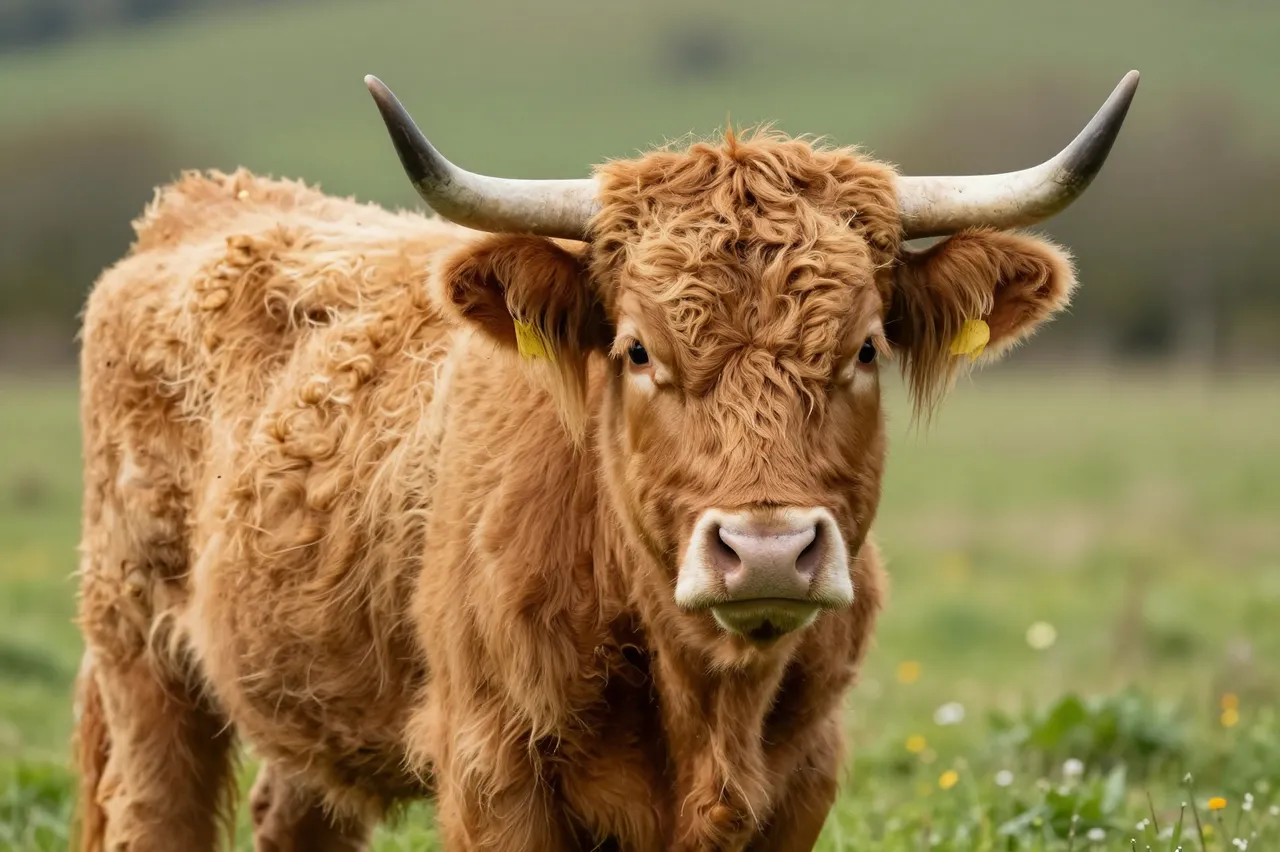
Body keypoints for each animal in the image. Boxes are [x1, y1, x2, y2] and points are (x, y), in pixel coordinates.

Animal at [70, 70, 1139, 851]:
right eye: (637, 350)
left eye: (866, 348)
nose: (766, 550)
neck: (705, 700)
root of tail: (200, 203)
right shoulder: (491, 772)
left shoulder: (802, 777)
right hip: (141, 662)